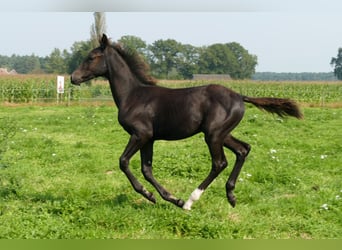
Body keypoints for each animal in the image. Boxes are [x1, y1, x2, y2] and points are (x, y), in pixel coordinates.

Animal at [71, 34, 302, 210]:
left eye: (92, 57)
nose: (73, 77)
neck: (133, 95)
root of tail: (240, 96)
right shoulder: (149, 139)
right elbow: (147, 170)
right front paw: (169, 198)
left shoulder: (140, 134)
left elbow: (124, 162)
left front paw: (154, 196)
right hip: (222, 133)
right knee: (243, 149)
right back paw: (230, 196)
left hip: (213, 135)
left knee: (220, 162)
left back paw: (191, 201)